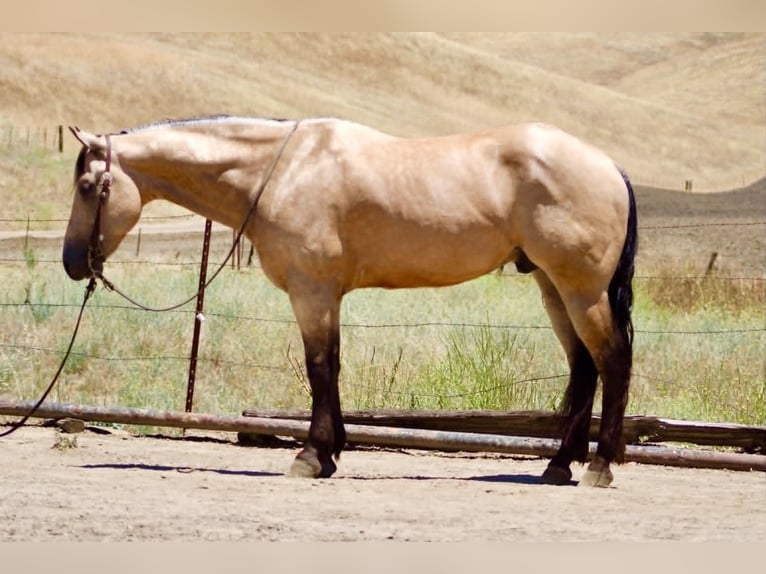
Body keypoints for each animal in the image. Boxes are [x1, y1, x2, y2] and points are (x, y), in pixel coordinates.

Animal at [63, 115, 637, 487]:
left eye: (90, 185)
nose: (72, 263)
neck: (283, 170)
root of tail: (609, 166)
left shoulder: (311, 291)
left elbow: (319, 369)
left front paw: (311, 456)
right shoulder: (327, 296)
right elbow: (333, 368)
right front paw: (333, 451)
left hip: (579, 289)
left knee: (612, 360)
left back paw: (599, 466)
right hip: (553, 287)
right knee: (584, 367)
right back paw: (558, 466)